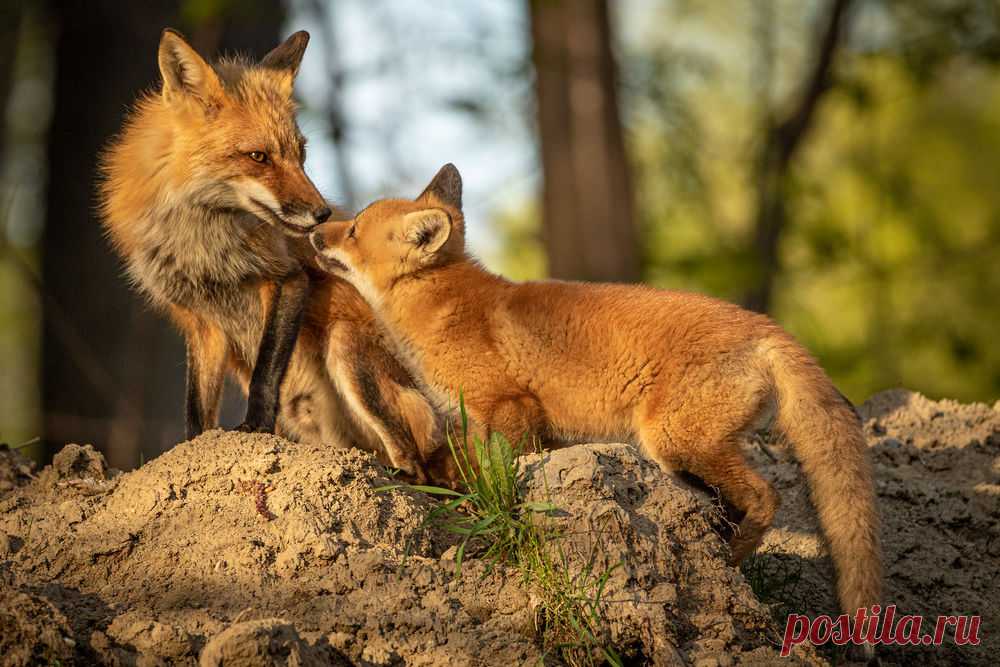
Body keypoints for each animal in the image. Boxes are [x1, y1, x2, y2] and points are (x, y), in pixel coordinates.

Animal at [310, 164, 884, 656]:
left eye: (353, 230)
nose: (317, 229)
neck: (444, 310)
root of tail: (767, 327)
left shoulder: (510, 407)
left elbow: (494, 482)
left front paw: (482, 518)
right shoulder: (516, 425)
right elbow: (478, 471)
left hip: (673, 439)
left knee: (768, 496)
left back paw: (731, 558)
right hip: (684, 452)